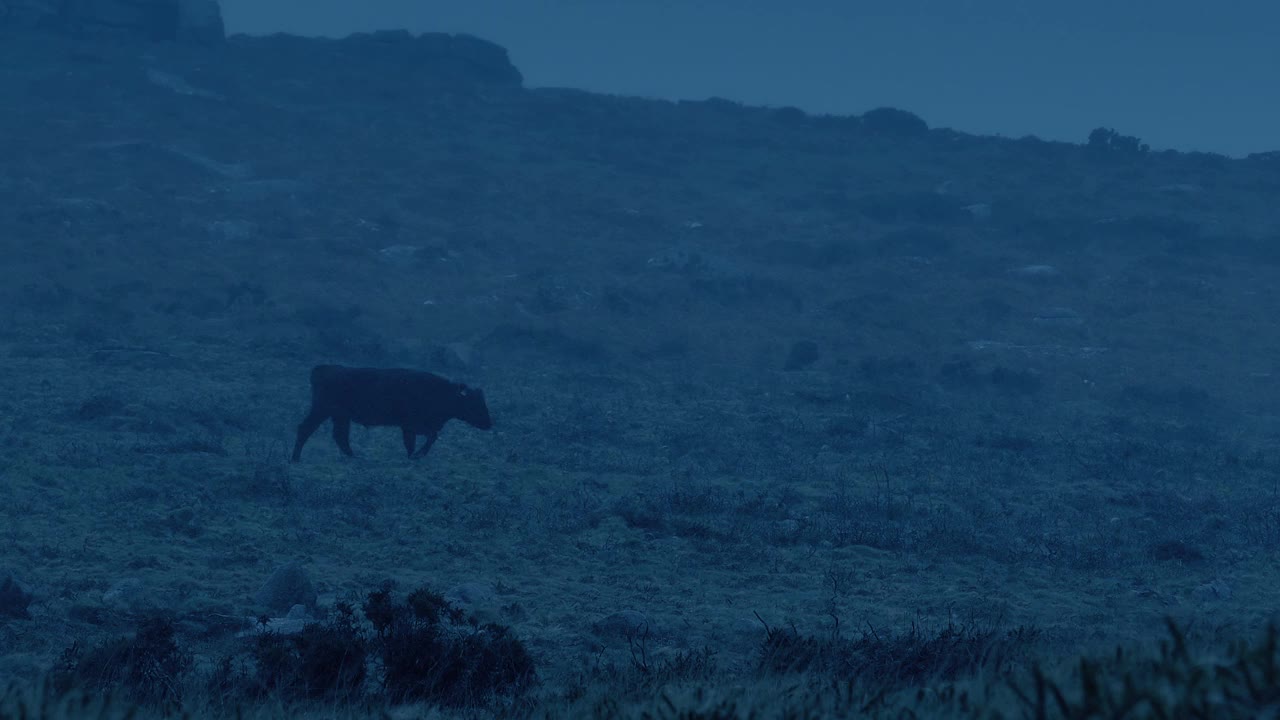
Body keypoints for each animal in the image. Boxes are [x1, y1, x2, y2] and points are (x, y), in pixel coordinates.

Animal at [293, 363, 491, 458]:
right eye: (473, 403)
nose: (489, 424)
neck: (442, 392)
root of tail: (323, 368)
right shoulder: (414, 425)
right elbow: (426, 439)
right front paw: (417, 455)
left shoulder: (410, 427)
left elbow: (417, 441)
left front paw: (413, 455)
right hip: (322, 410)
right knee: (305, 429)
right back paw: (296, 458)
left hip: (340, 416)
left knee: (340, 436)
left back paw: (354, 457)